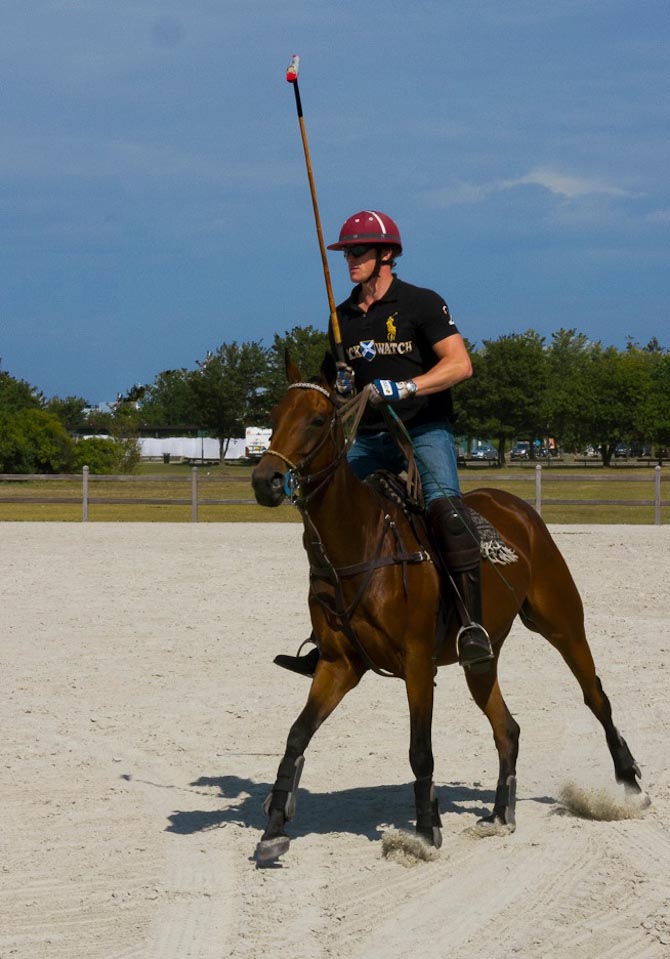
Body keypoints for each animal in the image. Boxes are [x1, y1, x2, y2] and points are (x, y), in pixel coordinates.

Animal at [251, 352, 644, 864]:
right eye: (273, 416)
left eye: (317, 419)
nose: (266, 481)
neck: (358, 543)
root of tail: (516, 506)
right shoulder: (339, 664)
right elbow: (297, 734)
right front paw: (274, 827)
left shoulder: (418, 664)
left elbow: (420, 750)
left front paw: (425, 831)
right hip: (482, 659)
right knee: (507, 728)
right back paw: (500, 814)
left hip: (562, 622)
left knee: (595, 696)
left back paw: (629, 784)